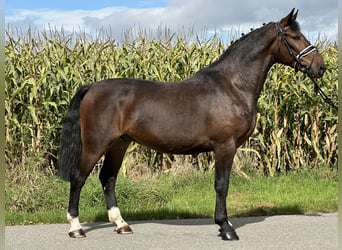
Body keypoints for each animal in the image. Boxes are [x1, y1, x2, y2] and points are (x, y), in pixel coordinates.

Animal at [58, 8, 326, 241]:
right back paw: (75, 228)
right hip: (96, 144)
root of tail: (92, 87)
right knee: (78, 178)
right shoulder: (225, 146)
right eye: (295, 36)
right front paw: (226, 228)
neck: (232, 86)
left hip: (118, 144)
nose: (320, 67)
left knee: (108, 179)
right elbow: (221, 185)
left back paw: (121, 225)